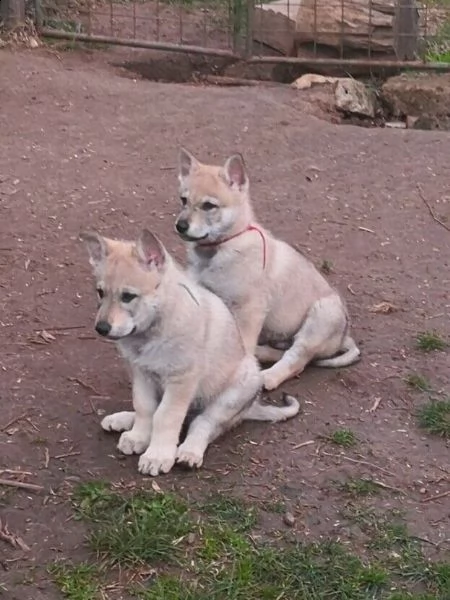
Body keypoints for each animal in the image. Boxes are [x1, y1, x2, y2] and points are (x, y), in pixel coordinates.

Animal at [81, 227, 298, 476]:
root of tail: (249, 409)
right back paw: (123, 420)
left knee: (202, 424)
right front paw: (138, 437)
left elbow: (165, 416)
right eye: (100, 292)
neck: (154, 330)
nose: (101, 328)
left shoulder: (181, 379)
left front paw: (157, 455)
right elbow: (145, 407)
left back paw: (189, 452)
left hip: (236, 390)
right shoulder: (141, 374)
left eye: (128, 296)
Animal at [174, 150, 360, 394]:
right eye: (183, 200)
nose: (180, 226)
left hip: (321, 317)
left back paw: (268, 376)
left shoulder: (249, 311)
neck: (217, 251)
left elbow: (243, 344)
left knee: (297, 359)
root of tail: (342, 337)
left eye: (208, 206)